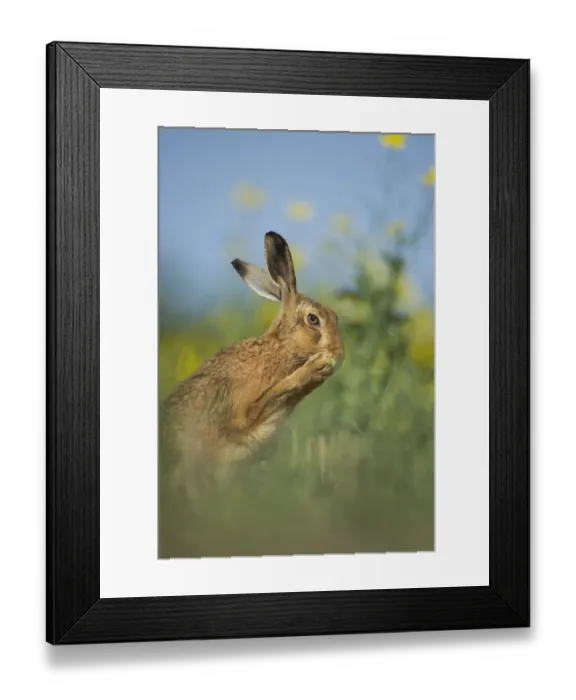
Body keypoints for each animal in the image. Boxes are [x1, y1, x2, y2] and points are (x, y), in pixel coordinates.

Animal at [160, 231, 344, 497]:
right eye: (313, 319)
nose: (338, 354)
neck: (280, 348)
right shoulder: (243, 412)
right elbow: (272, 395)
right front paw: (316, 368)